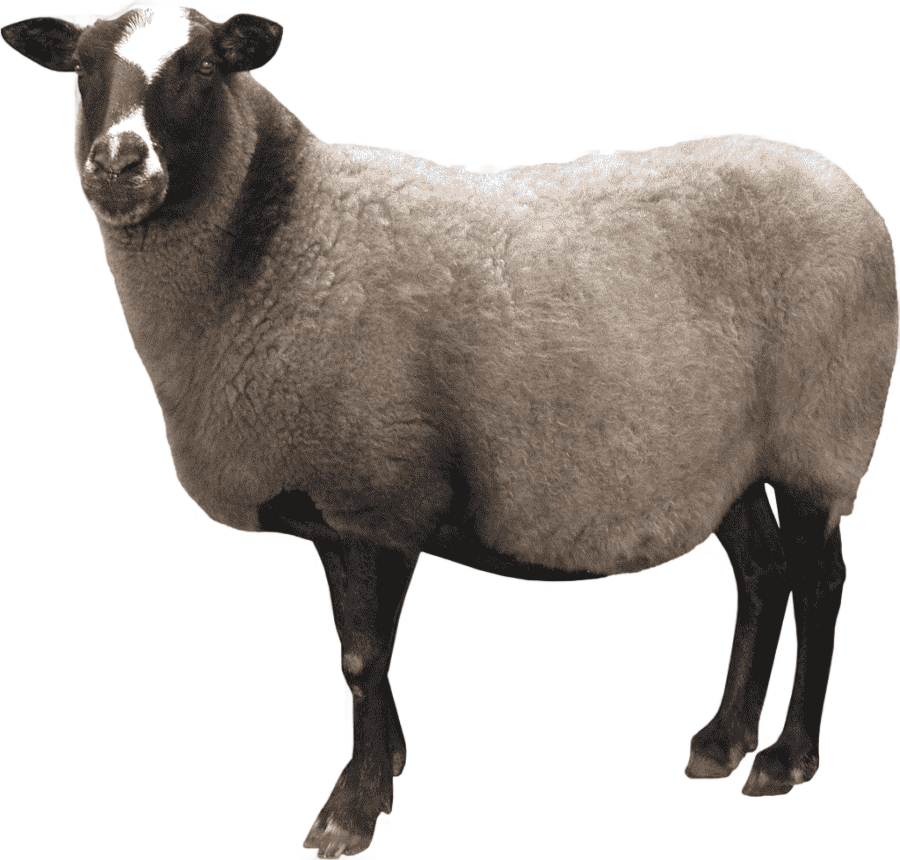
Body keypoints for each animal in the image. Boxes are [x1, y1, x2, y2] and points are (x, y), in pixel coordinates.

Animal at [3, 5, 896, 857]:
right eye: (80, 70)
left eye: (202, 66)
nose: (119, 165)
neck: (281, 240)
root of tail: (848, 194)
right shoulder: (335, 507)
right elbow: (355, 653)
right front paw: (388, 767)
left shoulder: (381, 487)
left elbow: (363, 656)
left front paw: (351, 810)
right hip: (731, 455)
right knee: (761, 574)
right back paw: (719, 741)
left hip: (818, 430)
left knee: (817, 577)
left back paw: (782, 758)